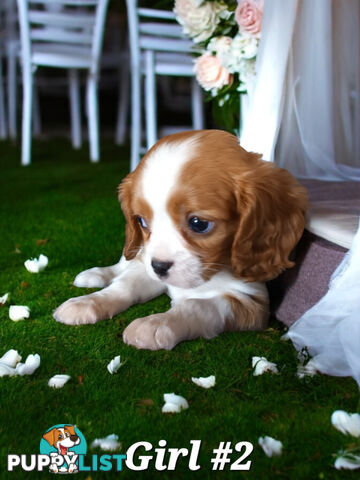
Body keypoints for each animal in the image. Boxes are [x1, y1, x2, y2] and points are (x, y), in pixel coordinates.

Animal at [54, 129, 308, 350]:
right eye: (142, 221)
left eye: (198, 223)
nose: (159, 266)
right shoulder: (147, 267)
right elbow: (124, 285)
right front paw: (88, 302)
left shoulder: (251, 301)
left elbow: (198, 305)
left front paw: (155, 324)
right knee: (126, 262)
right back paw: (97, 275)